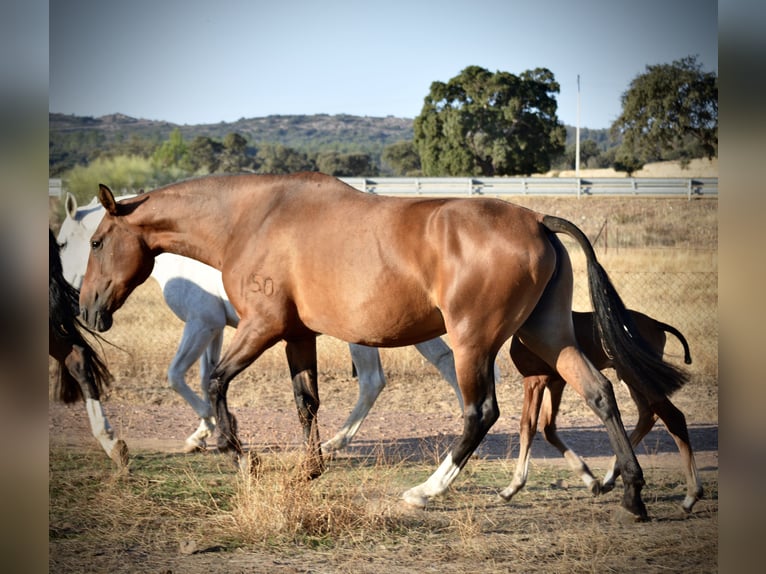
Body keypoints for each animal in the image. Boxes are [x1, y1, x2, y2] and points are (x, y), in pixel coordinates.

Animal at [60, 194, 476, 454]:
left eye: (82, 243)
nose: (81, 305)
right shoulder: (215, 329)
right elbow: (203, 377)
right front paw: (206, 432)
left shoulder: (201, 323)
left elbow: (177, 375)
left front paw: (211, 430)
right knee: (442, 363)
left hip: (365, 337)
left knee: (374, 381)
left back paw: (337, 443)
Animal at [508, 312, 704, 516]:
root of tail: (656, 324)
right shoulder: (555, 381)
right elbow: (547, 428)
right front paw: (591, 481)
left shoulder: (535, 380)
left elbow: (527, 425)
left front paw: (512, 487)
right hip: (628, 378)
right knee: (648, 414)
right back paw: (610, 477)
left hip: (636, 376)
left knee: (673, 416)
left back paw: (691, 496)